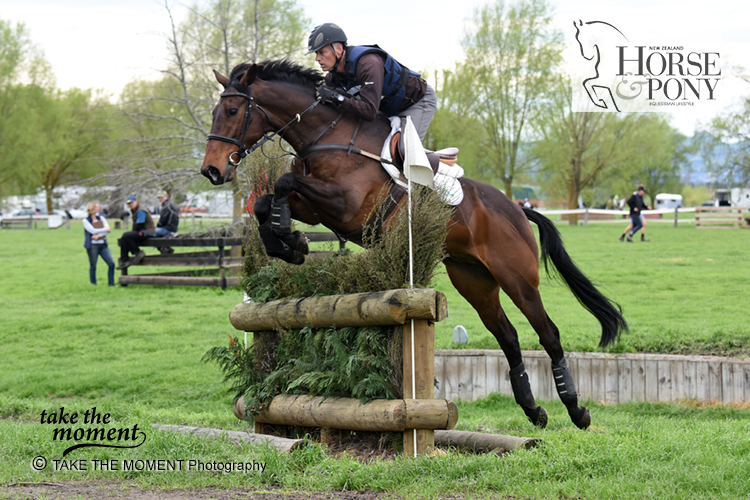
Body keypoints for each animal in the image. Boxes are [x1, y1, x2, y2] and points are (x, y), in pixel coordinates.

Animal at [200, 59, 628, 430]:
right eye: (216, 111)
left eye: (234, 110)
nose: (212, 170)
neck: (327, 137)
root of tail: (518, 209)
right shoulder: (320, 205)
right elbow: (269, 198)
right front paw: (288, 243)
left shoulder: (346, 206)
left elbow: (284, 183)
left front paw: (290, 239)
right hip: (474, 279)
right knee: (508, 337)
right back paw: (533, 410)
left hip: (517, 277)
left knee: (548, 333)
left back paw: (576, 410)